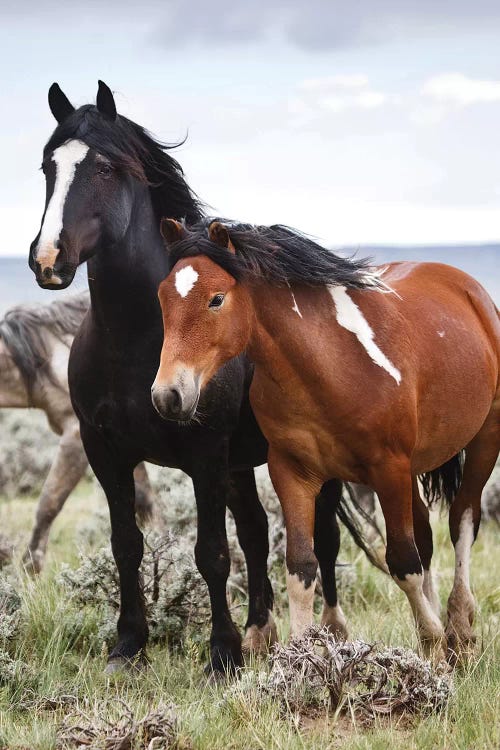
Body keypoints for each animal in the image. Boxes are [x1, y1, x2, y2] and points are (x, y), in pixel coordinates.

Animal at [24, 82, 376, 676]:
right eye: (48, 166)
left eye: (104, 169)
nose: (49, 259)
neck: (139, 338)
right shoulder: (106, 450)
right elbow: (127, 544)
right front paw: (128, 645)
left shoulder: (205, 453)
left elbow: (211, 553)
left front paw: (221, 656)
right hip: (240, 465)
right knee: (256, 532)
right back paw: (261, 632)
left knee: (323, 540)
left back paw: (330, 632)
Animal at [154, 219, 498, 664]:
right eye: (163, 297)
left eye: (216, 299)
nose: (168, 396)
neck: (331, 364)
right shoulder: (293, 473)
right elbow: (301, 567)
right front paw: (298, 662)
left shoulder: (389, 469)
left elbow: (402, 561)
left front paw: (433, 645)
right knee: (425, 534)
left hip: (484, 442)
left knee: (462, 522)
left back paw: (459, 627)